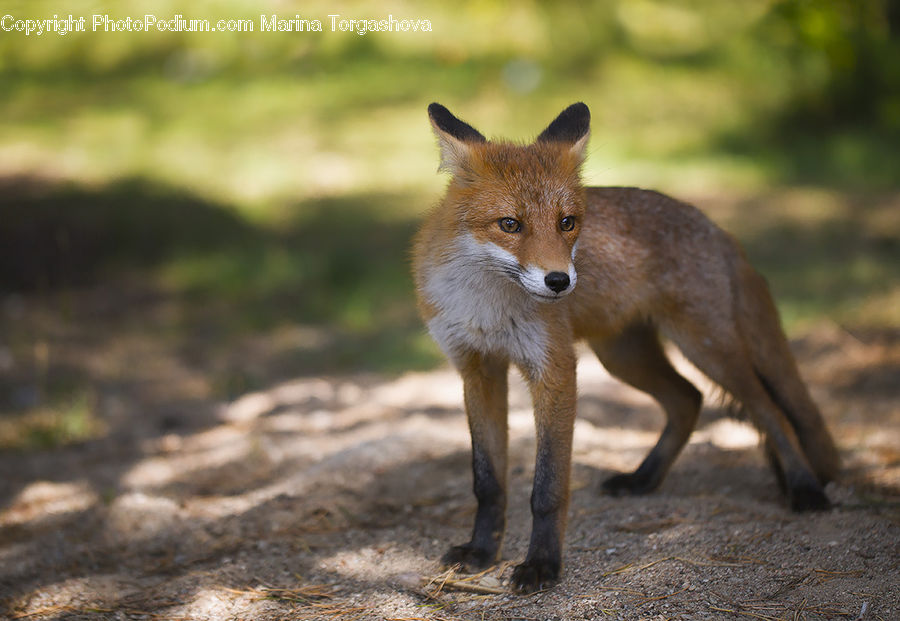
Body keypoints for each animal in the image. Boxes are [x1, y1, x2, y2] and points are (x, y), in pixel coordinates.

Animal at [411, 102, 840, 593]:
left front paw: (542, 564)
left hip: (708, 349)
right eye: (510, 225)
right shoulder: (477, 369)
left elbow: (547, 488)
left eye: (567, 222)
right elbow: (488, 482)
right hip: (624, 357)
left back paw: (805, 489)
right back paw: (643, 479)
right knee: (688, 399)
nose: (559, 281)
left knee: (769, 411)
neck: (486, 307)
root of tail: (715, 227)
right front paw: (482, 552)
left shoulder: (554, 368)